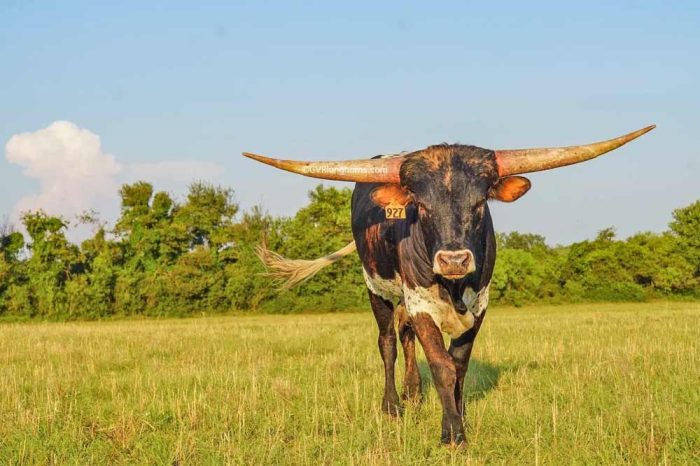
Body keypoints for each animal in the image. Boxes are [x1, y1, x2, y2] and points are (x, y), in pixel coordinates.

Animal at [242, 125, 654, 446]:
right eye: (421, 206)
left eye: (480, 203)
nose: (453, 260)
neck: (453, 288)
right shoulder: (421, 304)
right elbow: (440, 364)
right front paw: (453, 434)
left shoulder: (481, 305)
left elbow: (459, 366)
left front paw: (458, 416)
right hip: (377, 289)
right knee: (388, 342)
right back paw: (393, 406)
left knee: (405, 335)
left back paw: (413, 394)